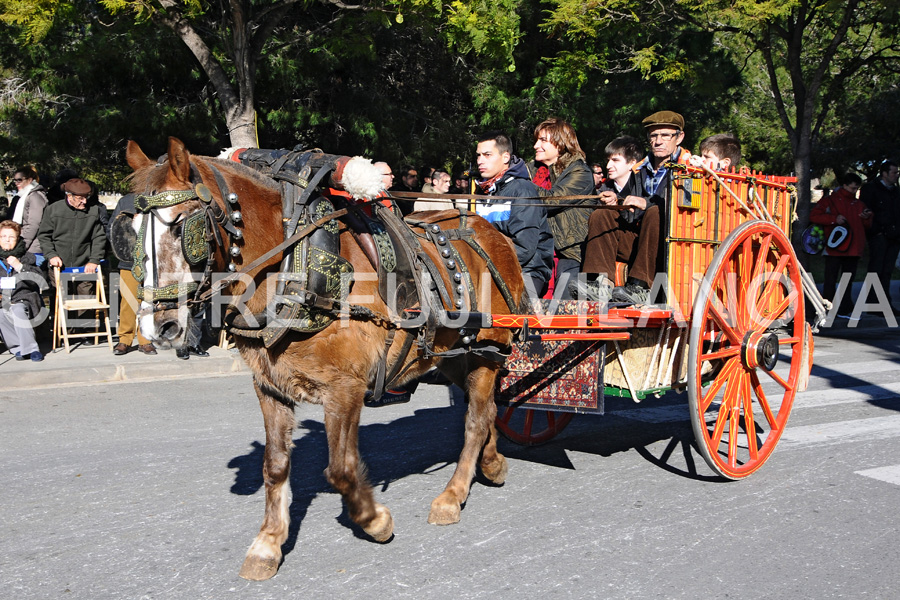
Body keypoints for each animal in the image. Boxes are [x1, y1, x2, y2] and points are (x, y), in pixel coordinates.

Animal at [123, 138, 524, 580]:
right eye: (130, 233)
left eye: (181, 225)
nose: (157, 327)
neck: (293, 269)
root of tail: (493, 232)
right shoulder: (270, 388)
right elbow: (275, 465)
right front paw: (268, 543)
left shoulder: (344, 388)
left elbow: (341, 470)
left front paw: (375, 520)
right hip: (454, 354)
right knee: (485, 410)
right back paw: (492, 463)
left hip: (489, 350)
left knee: (476, 420)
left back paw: (452, 495)